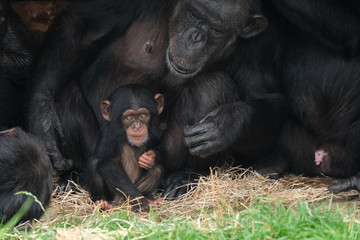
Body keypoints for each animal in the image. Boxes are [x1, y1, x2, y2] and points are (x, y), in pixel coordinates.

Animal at [28, 0, 268, 188]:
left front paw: (224, 126)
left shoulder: (254, 47)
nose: (195, 37)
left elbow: (263, 99)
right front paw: (43, 116)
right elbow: (84, 26)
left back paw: (186, 177)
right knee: (64, 94)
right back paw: (75, 177)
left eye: (217, 30)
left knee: (212, 85)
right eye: (193, 14)